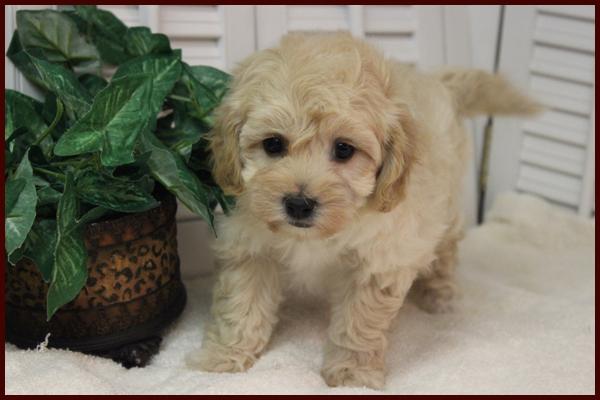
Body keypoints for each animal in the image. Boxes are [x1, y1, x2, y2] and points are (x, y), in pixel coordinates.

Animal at [189, 32, 540, 390]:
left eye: (344, 149)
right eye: (273, 144)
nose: (299, 204)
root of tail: (438, 82)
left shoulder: (380, 260)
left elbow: (358, 321)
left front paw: (351, 374)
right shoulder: (249, 246)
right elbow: (240, 305)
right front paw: (224, 355)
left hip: (446, 205)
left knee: (445, 249)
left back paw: (439, 294)